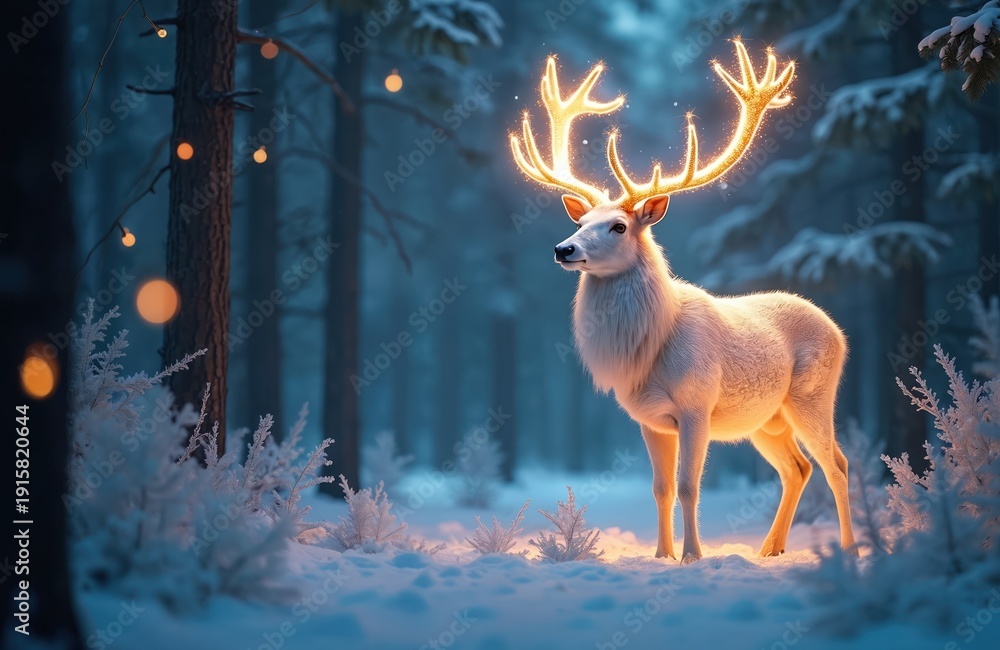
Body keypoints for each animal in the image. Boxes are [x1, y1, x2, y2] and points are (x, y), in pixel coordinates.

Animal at [510, 41, 856, 564]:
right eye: (582, 221)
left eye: (619, 226)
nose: (563, 249)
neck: (650, 347)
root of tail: (837, 329)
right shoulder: (650, 419)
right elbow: (662, 488)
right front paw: (661, 556)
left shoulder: (696, 406)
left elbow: (691, 487)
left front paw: (693, 556)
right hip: (766, 420)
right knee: (797, 467)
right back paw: (769, 550)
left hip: (813, 396)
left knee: (837, 463)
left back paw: (853, 549)